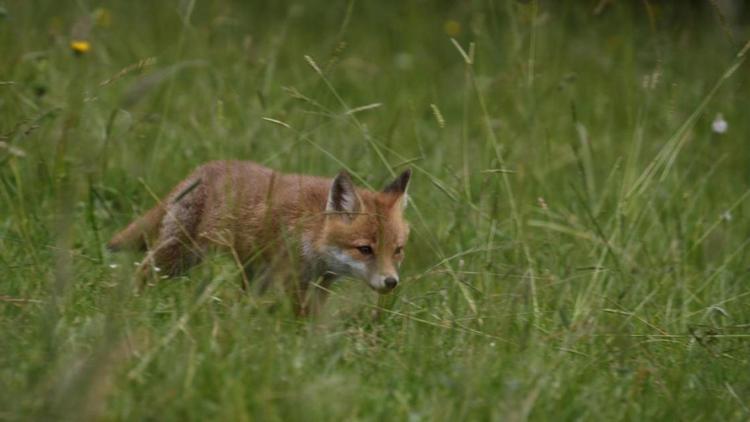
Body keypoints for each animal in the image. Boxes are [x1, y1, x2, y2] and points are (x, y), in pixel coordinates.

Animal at [106, 160, 414, 314]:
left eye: (397, 250)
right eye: (365, 249)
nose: (391, 282)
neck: (310, 232)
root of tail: (201, 169)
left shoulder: (321, 283)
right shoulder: (292, 279)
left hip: (251, 274)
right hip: (175, 257)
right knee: (142, 272)